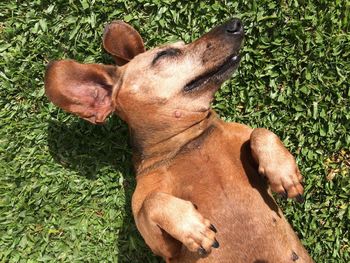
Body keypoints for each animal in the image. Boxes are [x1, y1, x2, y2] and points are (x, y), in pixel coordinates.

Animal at [44, 19, 314, 263]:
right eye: (165, 54)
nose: (236, 23)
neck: (188, 143)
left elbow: (261, 131)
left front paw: (284, 174)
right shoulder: (162, 247)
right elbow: (152, 202)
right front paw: (193, 228)